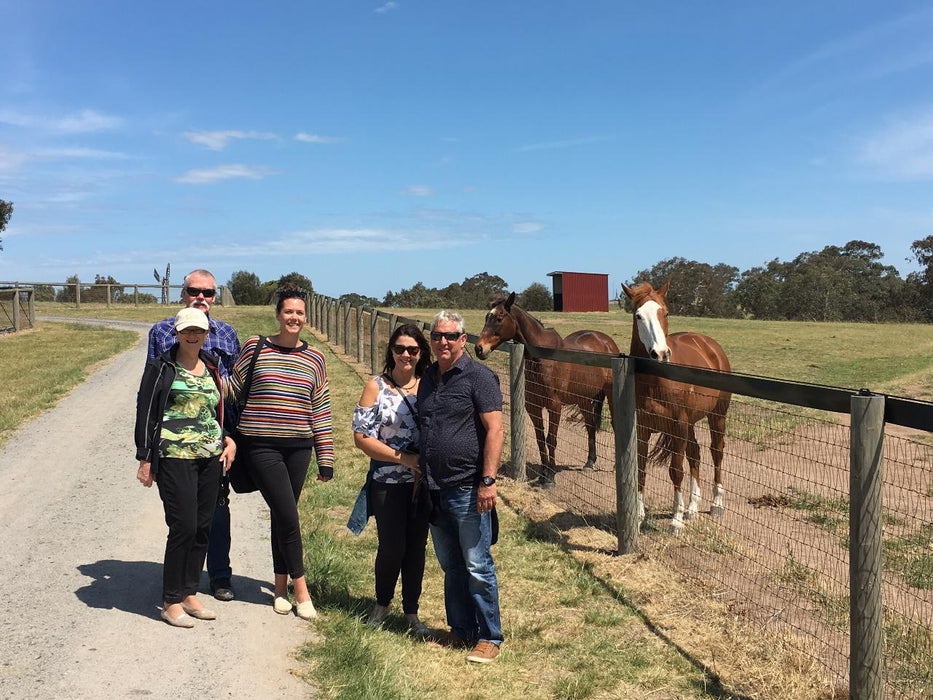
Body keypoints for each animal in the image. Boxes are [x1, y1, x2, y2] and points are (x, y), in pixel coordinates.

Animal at [474, 292, 620, 484]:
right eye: (486, 317)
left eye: (499, 318)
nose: (479, 348)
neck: (542, 358)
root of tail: (606, 341)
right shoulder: (533, 406)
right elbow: (540, 439)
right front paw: (543, 474)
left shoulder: (554, 406)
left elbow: (551, 439)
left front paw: (550, 477)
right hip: (583, 398)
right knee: (589, 424)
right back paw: (589, 462)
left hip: (609, 394)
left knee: (613, 424)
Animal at [624, 278, 732, 532]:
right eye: (638, 315)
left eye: (665, 312)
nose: (661, 353)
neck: (656, 380)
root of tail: (710, 345)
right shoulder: (642, 428)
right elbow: (640, 468)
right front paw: (640, 515)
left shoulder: (678, 426)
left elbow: (676, 471)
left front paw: (676, 520)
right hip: (690, 423)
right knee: (695, 454)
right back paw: (692, 508)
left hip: (716, 416)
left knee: (716, 452)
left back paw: (716, 504)